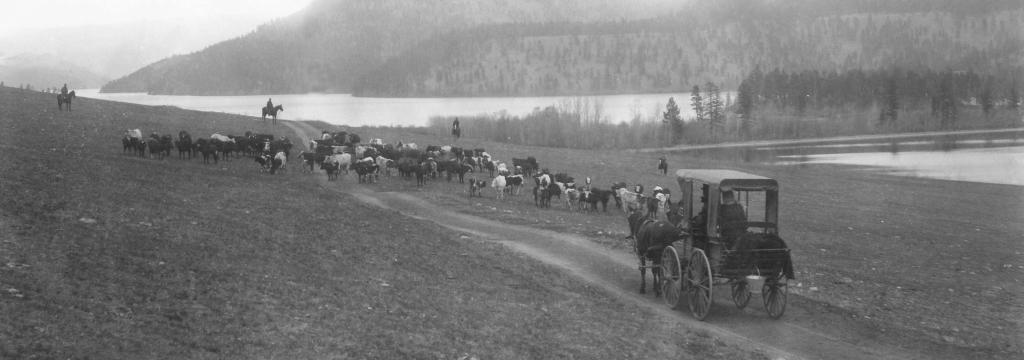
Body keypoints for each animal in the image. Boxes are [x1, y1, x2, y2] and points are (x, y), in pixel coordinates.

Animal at [626, 169, 794, 321]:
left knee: (679, 275)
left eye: (671, 212)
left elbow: (649, 270)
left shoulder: (656, 254)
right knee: (771, 283)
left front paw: (651, 289)